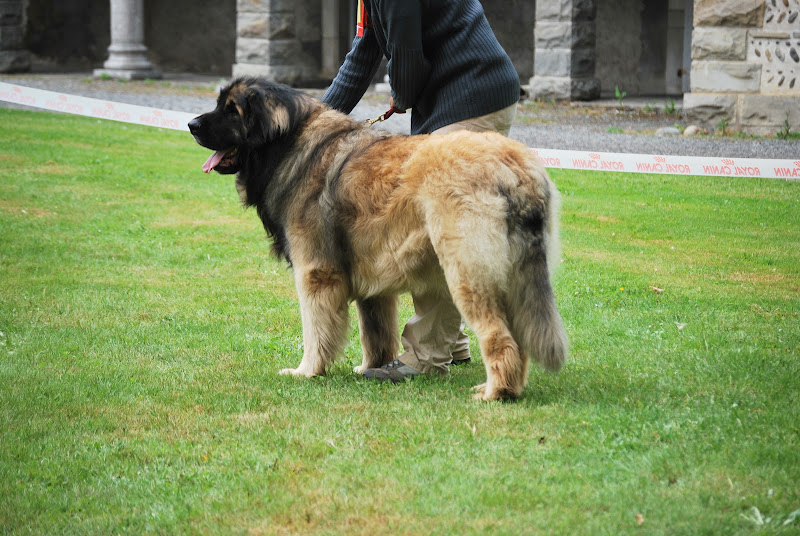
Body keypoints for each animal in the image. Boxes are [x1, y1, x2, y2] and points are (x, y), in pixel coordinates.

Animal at [188, 77, 564, 400]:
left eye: (231, 110)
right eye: (220, 105)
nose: (191, 124)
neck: (288, 146)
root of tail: (516, 166)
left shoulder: (317, 274)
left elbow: (316, 330)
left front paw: (307, 371)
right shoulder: (373, 279)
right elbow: (376, 333)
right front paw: (373, 368)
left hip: (467, 273)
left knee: (500, 337)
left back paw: (495, 393)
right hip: (513, 277)